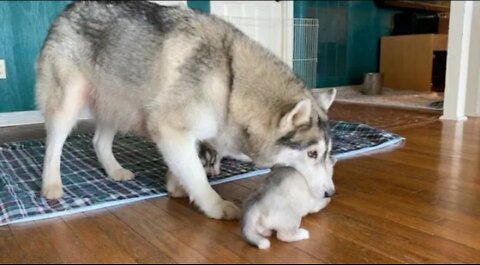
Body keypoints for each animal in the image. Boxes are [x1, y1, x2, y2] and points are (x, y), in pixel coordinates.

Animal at [37, 1, 336, 218]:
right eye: (312, 154)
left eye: (327, 154)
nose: (330, 194)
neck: (232, 83)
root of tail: (68, 8)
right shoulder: (169, 128)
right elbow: (196, 175)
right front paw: (215, 205)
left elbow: (187, 166)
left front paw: (176, 185)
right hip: (69, 102)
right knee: (54, 144)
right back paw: (51, 185)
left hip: (119, 103)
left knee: (99, 141)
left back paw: (114, 171)